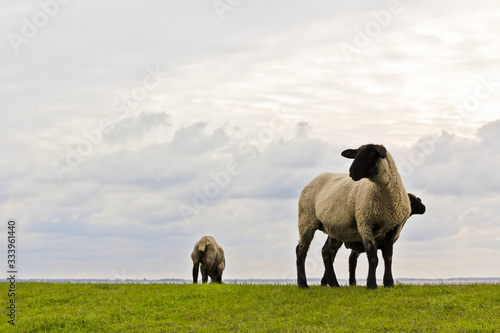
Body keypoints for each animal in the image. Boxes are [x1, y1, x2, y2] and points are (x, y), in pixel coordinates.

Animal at [296, 143, 410, 288]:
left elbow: (388, 258)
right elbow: (373, 257)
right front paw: (371, 285)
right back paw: (303, 284)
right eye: (355, 154)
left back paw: (334, 284)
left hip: (334, 227)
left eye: (372, 153)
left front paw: (389, 283)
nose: (352, 171)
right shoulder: (365, 224)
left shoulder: (393, 228)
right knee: (301, 250)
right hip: (307, 219)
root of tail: (313, 180)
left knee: (326, 252)